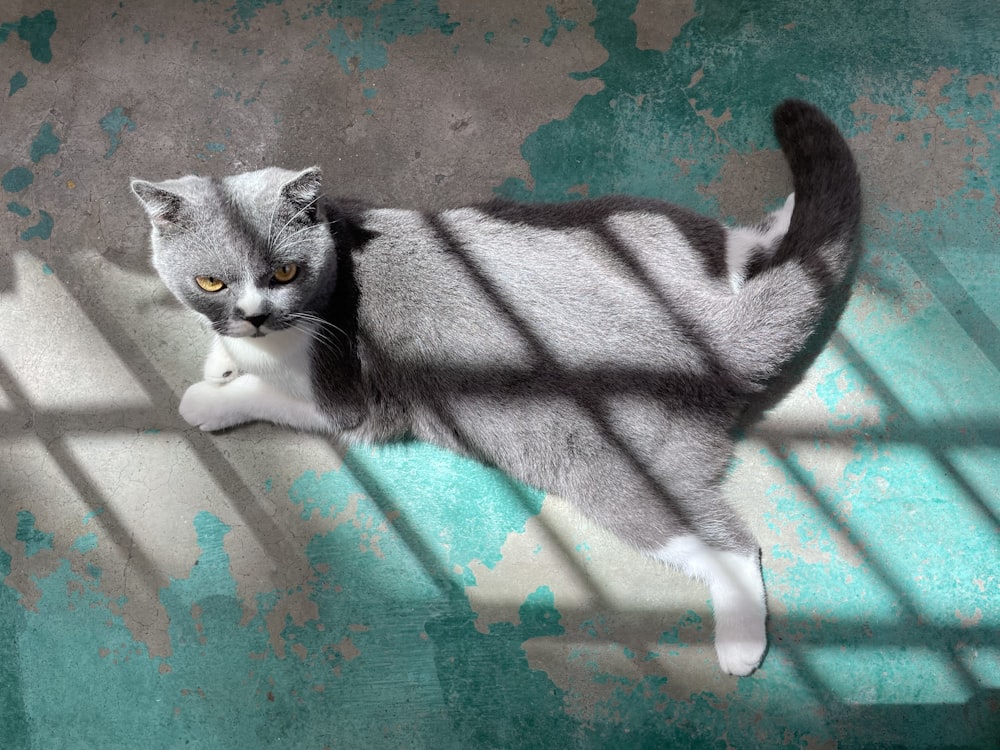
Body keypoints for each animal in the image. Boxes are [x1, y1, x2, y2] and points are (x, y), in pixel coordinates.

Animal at [133, 100, 860, 676]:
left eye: (285, 271)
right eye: (211, 281)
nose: (255, 315)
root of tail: (709, 337)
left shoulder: (348, 400)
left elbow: (267, 395)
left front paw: (209, 397)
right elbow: (226, 350)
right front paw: (219, 359)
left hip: (619, 471)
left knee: (732, 547)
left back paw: (740, 644)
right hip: (637, 229)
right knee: (733, 246)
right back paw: (781, 219)